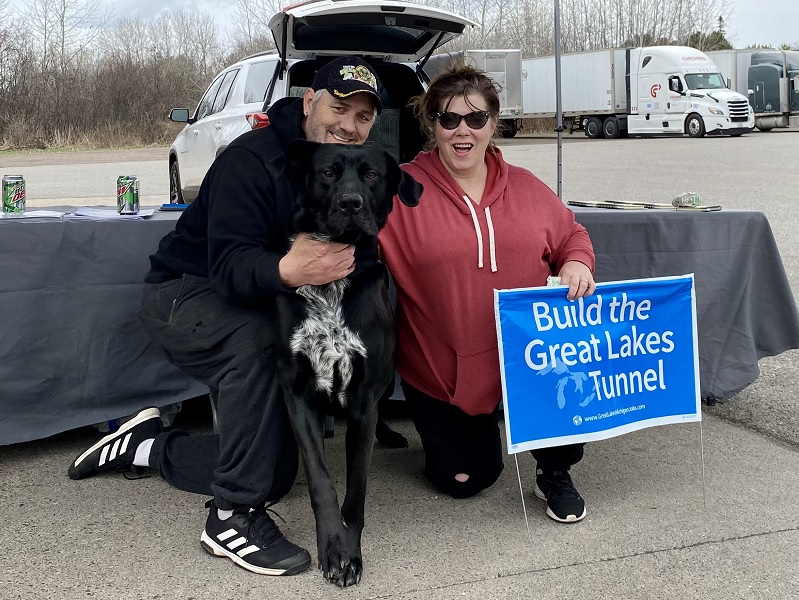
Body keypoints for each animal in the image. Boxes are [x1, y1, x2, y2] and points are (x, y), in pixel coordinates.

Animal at [276, 139, 424, 584]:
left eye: (371, 174)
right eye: (328, 172)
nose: (350, 203)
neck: (331, 286)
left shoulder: (363, 398)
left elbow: (355, 493)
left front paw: (351, 555)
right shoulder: (297, 394)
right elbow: (322, 483)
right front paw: (333, 550)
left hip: (385, 380)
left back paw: (389, 433)